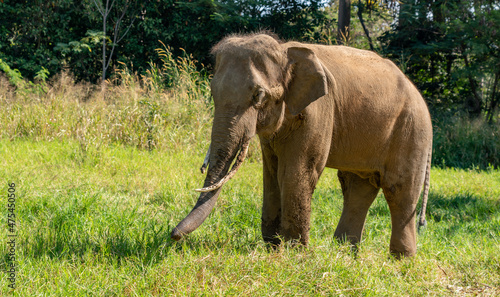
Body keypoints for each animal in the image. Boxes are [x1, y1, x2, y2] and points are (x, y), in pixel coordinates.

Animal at [170, 31, 432, 254]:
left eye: (258, 96)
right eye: (212, 92)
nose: (172, 235)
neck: (285, 51)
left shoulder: (319, 109)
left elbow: (298, 171)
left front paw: (294, 251)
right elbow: (272, 172)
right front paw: (273, 246)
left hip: (412, 132)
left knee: (399, 190)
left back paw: (401, 259)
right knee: (357, 187)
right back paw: (344, 253)